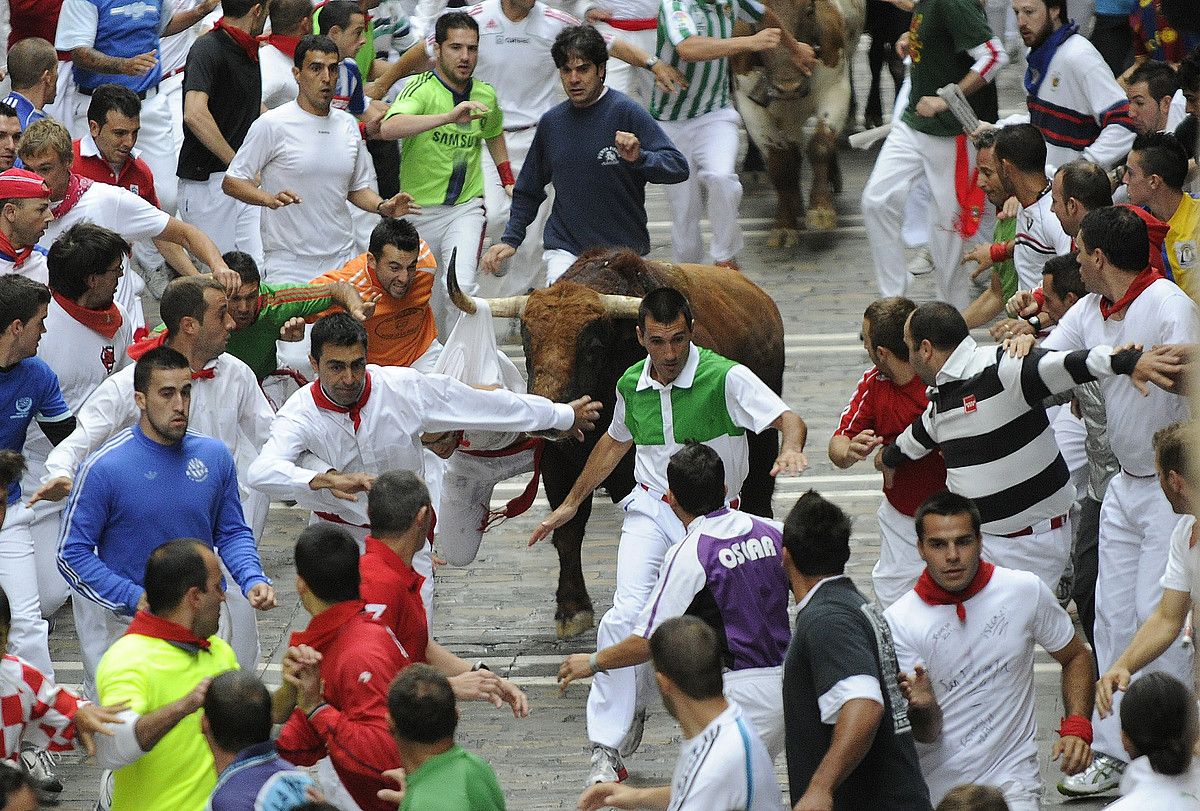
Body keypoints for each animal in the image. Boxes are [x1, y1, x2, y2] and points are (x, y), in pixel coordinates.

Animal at [451, 250, 787, 638]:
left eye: (593, 348)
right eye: (527, 343)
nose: (550, 416)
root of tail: (760, 300)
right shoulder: (559, 464)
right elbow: (567, 528)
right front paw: (572, 609)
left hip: (764, 445)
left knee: (759, 500)